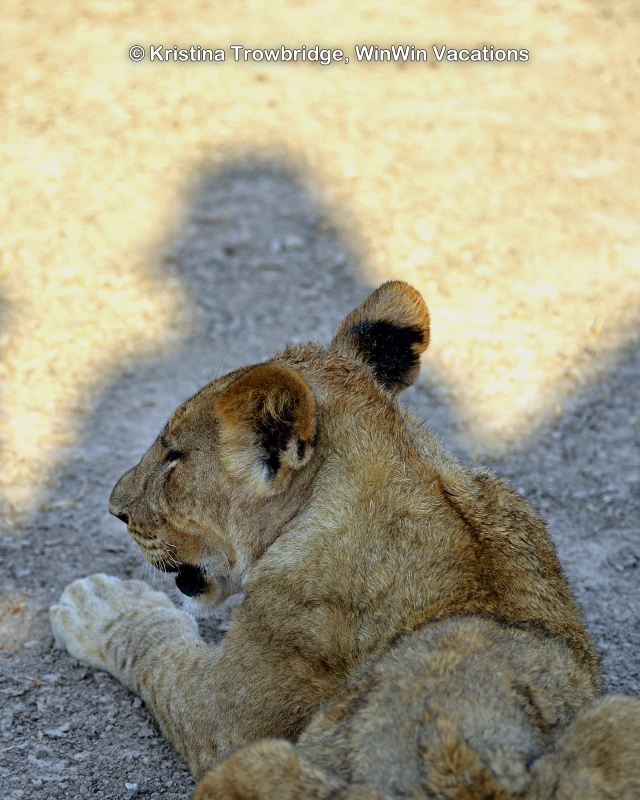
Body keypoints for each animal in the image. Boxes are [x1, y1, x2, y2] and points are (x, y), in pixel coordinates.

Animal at [50, 281, 640, 799]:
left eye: (173, 456)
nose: (116, 509)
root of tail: (478, 777)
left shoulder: (228, 715)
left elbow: (155, 649)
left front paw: (100, 603)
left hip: (254, 762)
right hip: (620, 713)